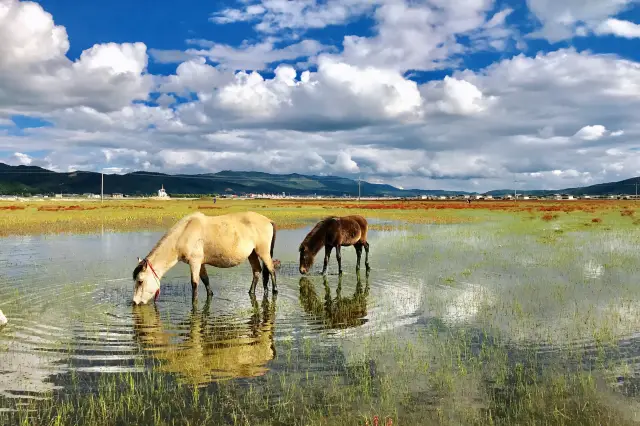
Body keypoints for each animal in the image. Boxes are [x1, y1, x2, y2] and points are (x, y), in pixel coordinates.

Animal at [132, 211, 277, 306]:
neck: (184, 233)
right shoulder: (200, 263)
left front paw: (194, 303)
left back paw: (274, 291)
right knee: (257, 271)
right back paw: (251, 292)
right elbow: (205, 280)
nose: (135, 302)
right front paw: (210, 295)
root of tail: (268, 220)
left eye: (140, 281)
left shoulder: (195, 262)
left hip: (263, 252)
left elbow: (195, 283)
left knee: (271, 270)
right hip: (252, 254)